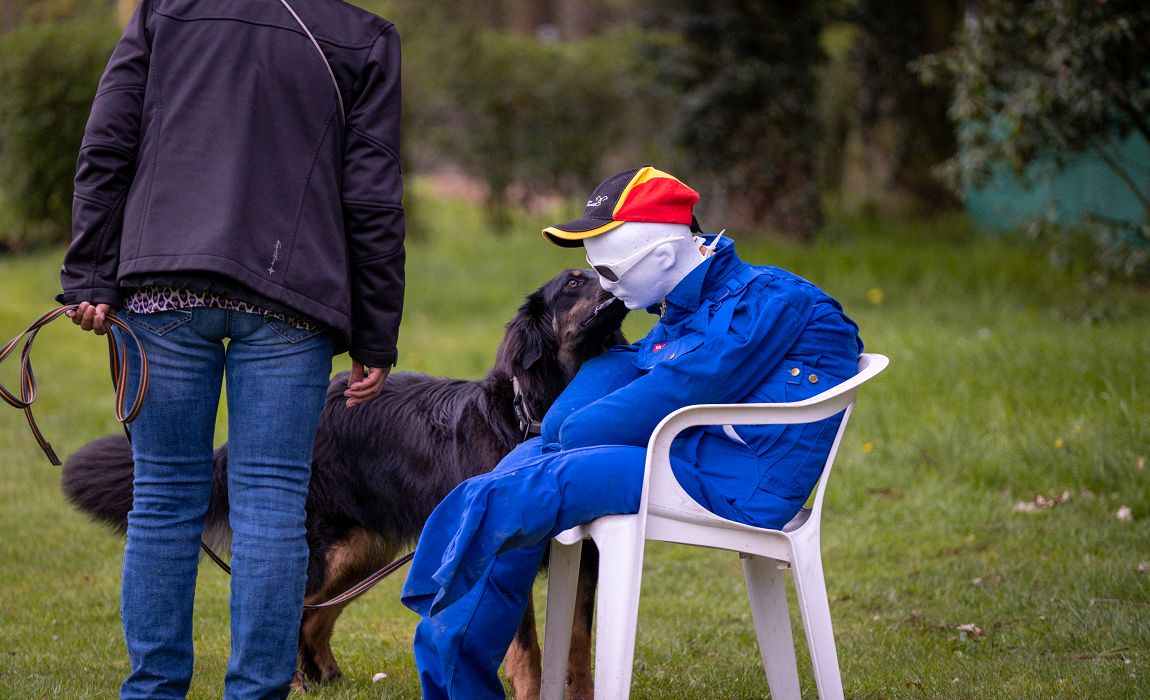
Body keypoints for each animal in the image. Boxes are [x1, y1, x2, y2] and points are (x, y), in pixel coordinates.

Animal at [62, 266, 630, 694]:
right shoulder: (502, 551)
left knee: (314, 613)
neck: (537, 413)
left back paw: (325, 676)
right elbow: (529, 652)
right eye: (574, 281)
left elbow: (578, 648)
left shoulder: (586, 557)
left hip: (366, 548)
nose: (618, 274)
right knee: (293, 605)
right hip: (329, 544)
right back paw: (292, 682)